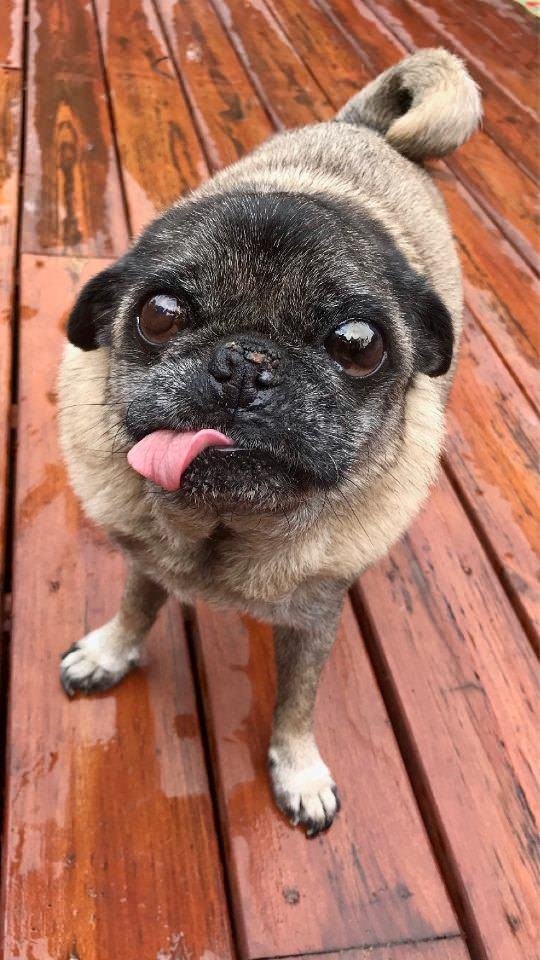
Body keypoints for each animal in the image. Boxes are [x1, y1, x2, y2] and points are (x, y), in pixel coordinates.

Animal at [58, 50, 480, 832]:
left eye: (358, 345)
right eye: (159, 315)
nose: (247, 364)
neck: (222, 532)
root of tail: (368, 130)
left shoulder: (314, 619)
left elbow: (296, 701)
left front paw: (297, 767)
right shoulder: (146, 555)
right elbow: (137, 604)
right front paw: (111, 649)